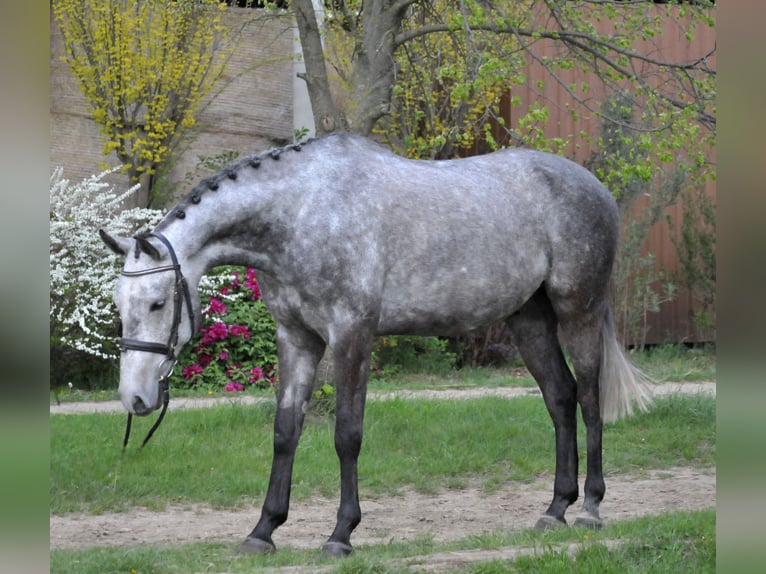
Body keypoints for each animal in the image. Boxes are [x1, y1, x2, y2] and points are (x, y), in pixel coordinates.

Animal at [100, 132, 652, 556]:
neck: (301, 213)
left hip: (578, 312)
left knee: (589, 398)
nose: (135, 398)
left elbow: (347, 435)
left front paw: (341, 535)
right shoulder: (297, 339)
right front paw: (263, 531)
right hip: (529, 322)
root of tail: (594, 187)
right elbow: (285, 432)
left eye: (156, 303)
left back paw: (591, 508)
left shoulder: (351, 337)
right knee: (560, 399)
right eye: (117, 304)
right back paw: (555, 509)